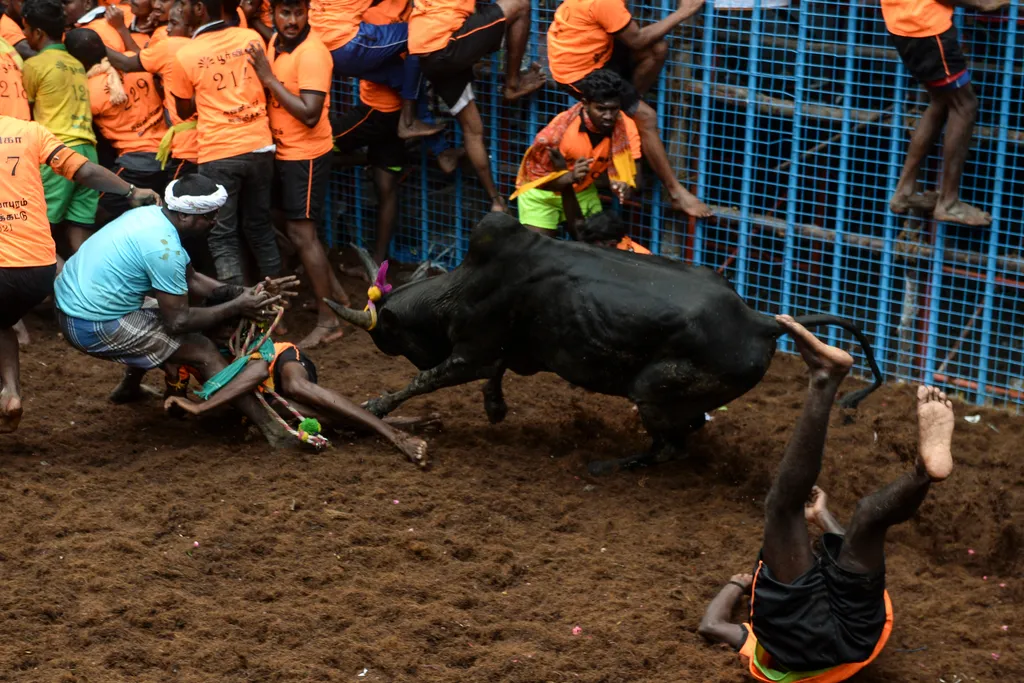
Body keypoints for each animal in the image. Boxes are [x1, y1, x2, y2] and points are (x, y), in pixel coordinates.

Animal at [325, 216, 880, 473]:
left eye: (388, 334)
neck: (463, 285)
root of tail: (760, 321)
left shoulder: (470, 350)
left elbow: (428, 378)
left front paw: (375, 405)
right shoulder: (504, 350)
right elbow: (495, 372)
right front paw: (495, 407)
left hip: (652, 391)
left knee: (670, 446)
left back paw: (613, 464)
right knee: (686, 433)